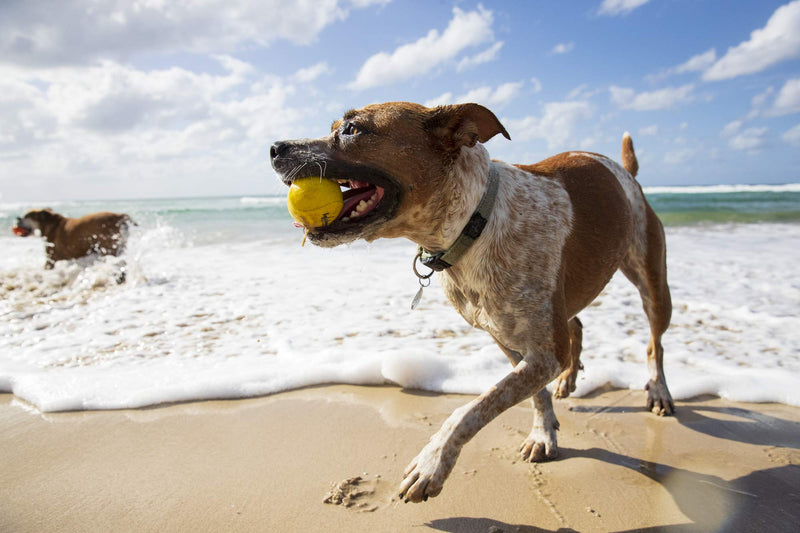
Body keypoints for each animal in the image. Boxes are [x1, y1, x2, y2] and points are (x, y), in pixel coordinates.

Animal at [270, 101, 676, 502]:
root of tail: (626, 174)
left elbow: (473, 407)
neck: (475, 221)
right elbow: (533, 395)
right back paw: (569, 379)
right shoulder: (508, 339)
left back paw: (658, 391)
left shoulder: (544, 350)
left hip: (653, 282)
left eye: (352, 129)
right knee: (576, 323)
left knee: (654, 342)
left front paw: (432, 462)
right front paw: (544, 431)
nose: (274, 148)